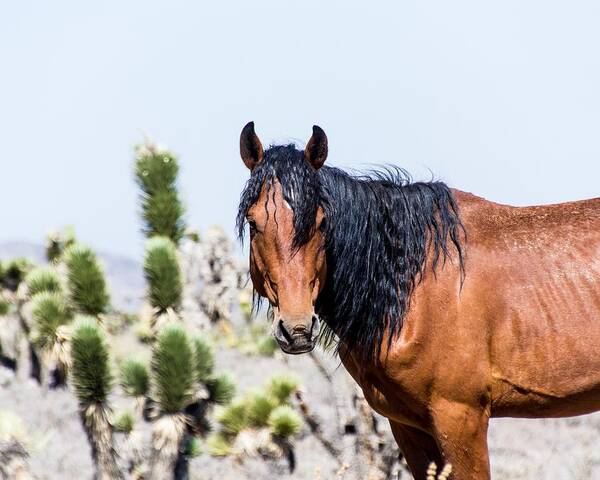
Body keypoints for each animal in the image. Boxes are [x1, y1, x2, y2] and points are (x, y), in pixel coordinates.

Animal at [234, 122, 600, 478]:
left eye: (322, 222)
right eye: (253, 222)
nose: (296, 329)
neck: (412, 283)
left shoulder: (462, 420)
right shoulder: (408, 426)